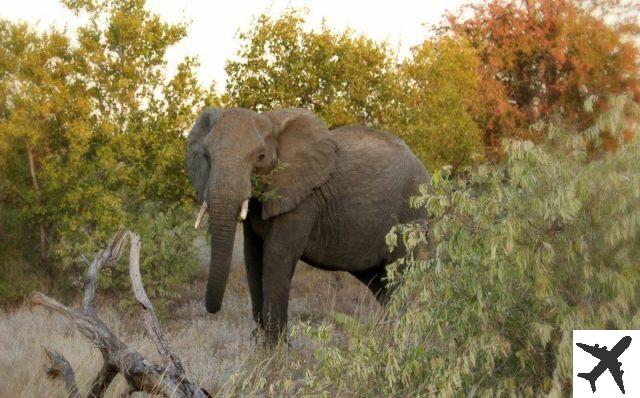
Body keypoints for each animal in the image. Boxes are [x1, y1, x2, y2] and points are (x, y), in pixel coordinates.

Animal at [185, 108, 430, 346]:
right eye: (206, 156)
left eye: (260, 157)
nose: (213, 309)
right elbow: (252, 258)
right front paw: (261, 347)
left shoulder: (302, 199)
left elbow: (276, 256)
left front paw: (275, 351)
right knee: (379, 281)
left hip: (411, 214)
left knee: (398, 275)